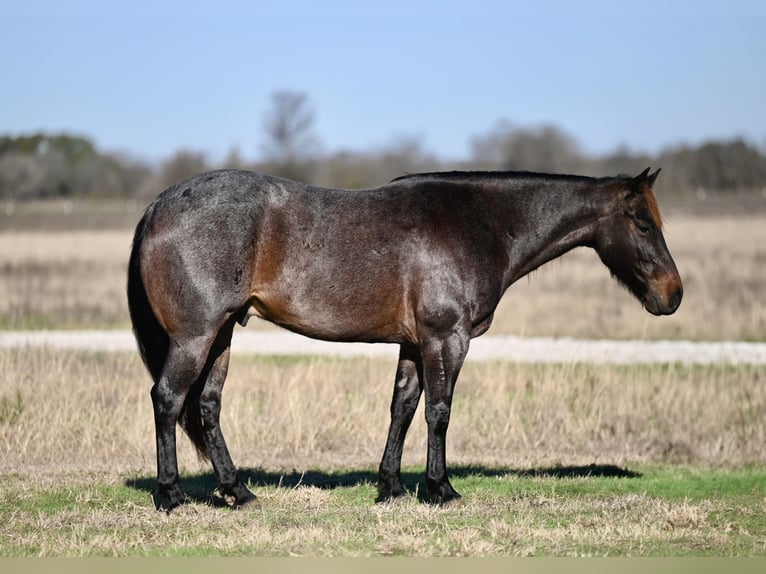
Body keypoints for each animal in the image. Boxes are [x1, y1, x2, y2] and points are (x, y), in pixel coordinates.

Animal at [126, 166, 684, 512]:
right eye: (641, 222)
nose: (672, 294)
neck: (480, 223)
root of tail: (158, 205)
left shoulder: (415, 345)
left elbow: (403, 407)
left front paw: (391, 487)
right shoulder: (446, 338)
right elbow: (439, 411)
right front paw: (441, 488)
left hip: (221, 334)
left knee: (207, 405)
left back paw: (237, 492)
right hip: (196, 336)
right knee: (168, 399)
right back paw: (171, 496)